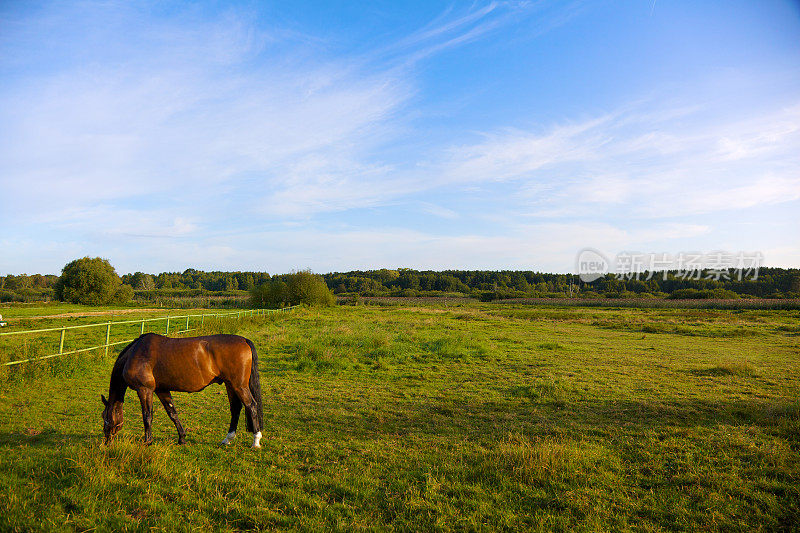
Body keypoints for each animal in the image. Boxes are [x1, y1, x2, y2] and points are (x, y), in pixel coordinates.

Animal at [101, 332, 264, 448]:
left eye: (105, 417)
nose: (106, 441)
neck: (135, 354)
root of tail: (244, 340)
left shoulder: (144, 390)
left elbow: (147, 416)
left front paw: (147, 442)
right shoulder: (161, 390)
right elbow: (172, 413)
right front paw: (182, 438)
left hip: (239, 385)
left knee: (251, 406)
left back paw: (256, 441)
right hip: (230, 385)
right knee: (236, 408)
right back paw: (227, 439)